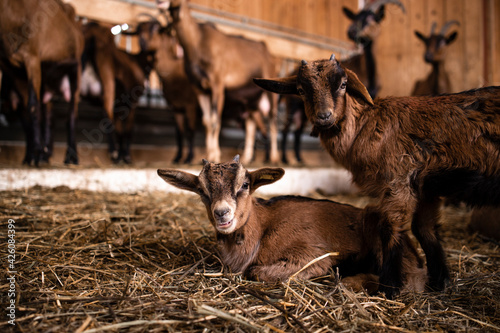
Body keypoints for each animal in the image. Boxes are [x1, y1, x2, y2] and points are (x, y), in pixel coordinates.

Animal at [0, 0, 83, 165]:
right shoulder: (9, 67)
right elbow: (27, 113)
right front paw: (31, 155)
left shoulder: (32, 58)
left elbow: (32, 106)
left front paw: (36, 152)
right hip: (45, 80)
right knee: (49, 115)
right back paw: (46, 154)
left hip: (75, 69)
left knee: (72, 113)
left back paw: (71, 156)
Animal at [158, 0, 280, 164]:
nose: (159, 2)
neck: (197, 42)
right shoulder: (200, 89)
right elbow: (207, 121)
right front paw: (209, 154)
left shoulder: (217, 84)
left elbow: (215, 120)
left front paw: (215, 155)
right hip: (251, 100)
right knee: (251, 124)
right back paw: (247, 157)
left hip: (271, 85)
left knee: (273, 118)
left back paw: (274, 157)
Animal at [254, 55, 500, 296]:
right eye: (301, 89)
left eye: (343, 85)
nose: (324, 116)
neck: (365, 125)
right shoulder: (425, 187)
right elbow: (425, 229)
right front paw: (440, 283)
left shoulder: (398, 179)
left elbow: (390, 227)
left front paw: (389, 288)